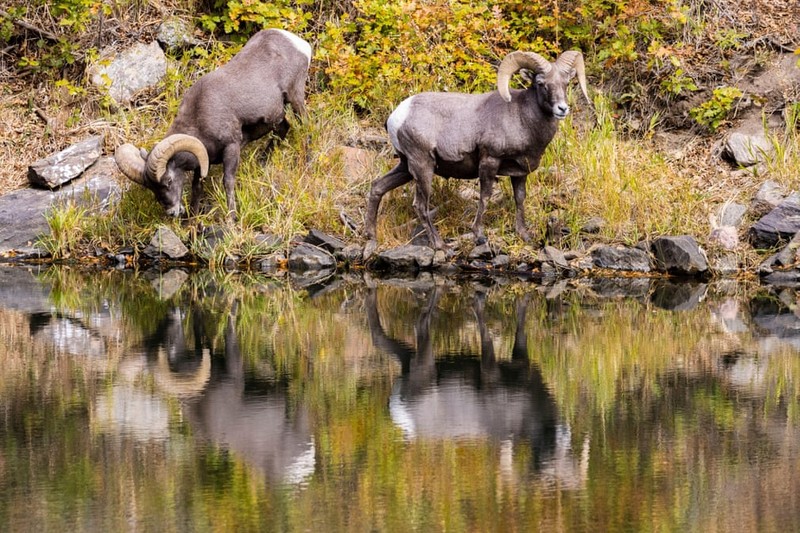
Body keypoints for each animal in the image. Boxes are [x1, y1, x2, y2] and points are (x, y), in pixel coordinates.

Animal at [114, 27, 310, 216]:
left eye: (168, 181)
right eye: (151, 188)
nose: (172, 212)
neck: (199, 119)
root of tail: (299, 44)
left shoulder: (231, 148)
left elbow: (228, 182)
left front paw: (231, 217)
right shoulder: (202, 162)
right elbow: (196, 189)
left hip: (295, 98)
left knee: (306, 128)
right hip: (277, 117)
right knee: (284, 128)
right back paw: (261, 164)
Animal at [362, 50, 588, 249]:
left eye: (566, 83)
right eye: (541, 84)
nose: (562, 109)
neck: (522, 117)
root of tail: (397, 115)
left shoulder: (519, 172)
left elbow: (520, 199)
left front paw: (524, 236)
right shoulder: (490, 161)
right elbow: (485, 197)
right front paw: (479, 235)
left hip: (405, 167)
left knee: (377, 187)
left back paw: (371, 236)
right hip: (422, 166)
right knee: (420, 205)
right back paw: (441, 246)